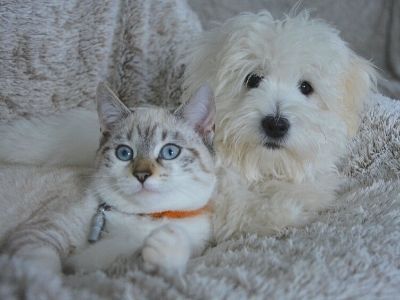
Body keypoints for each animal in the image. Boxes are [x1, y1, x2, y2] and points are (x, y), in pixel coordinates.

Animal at [0, 82, 216, 274]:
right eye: (124, 153)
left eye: (170, 152)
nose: (142, 175)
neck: (145, 218)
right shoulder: (40, 236)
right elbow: (41, 272)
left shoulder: (94, 266)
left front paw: (167, 244)